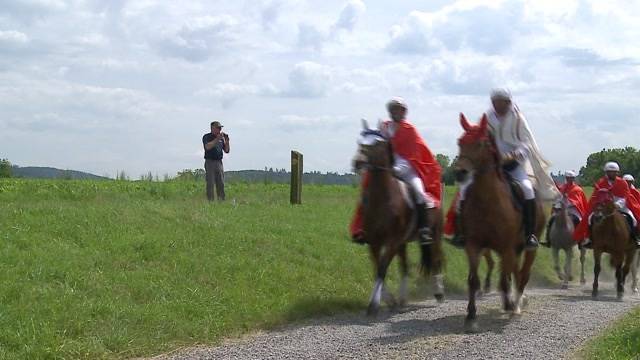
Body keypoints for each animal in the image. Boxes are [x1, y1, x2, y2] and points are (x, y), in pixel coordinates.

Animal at [458, 114, 544, 334]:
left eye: (480, 143)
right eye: (460, 142)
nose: (460, 172)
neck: (487, 200)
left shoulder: (506, 247)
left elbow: (506, 278)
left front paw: (511, 305)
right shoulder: (474, 245)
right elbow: (474, 280)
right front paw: (471, 317)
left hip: (529, 248)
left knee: (523, 275)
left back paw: (517, 304)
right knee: (514, 272)